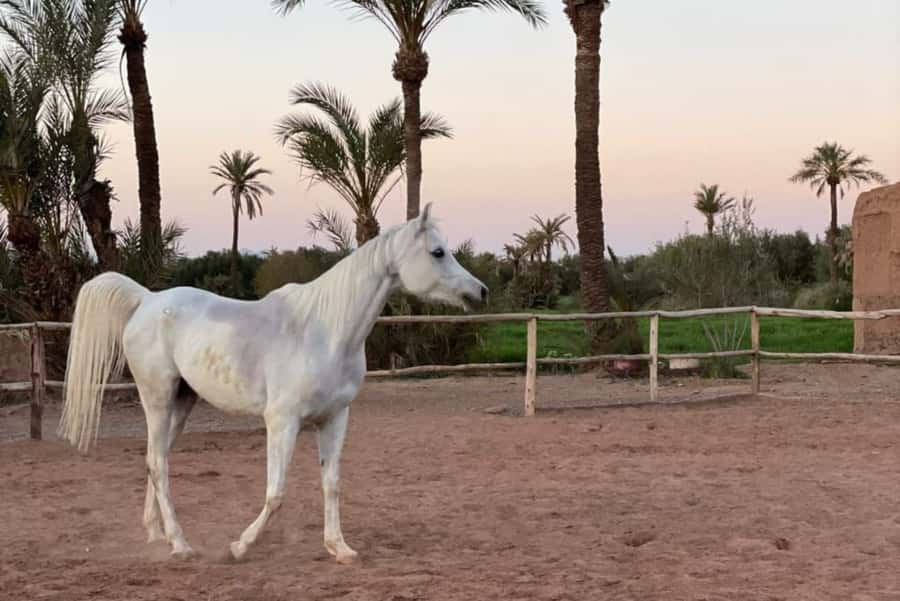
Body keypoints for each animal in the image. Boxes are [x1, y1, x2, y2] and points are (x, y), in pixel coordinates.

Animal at [57, 204, 487, 562]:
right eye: (438, 252)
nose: (480, 292)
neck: (325, 331)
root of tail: (146, 300)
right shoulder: (282, 422)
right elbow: (276, 492)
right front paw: (239, 546)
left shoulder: (335, 419)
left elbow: (331, 484)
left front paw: (340, 548)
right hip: (158, 398)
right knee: (158, 464)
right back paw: (180, 545)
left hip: (181, 403)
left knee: (154, 459)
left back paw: (157, 535)